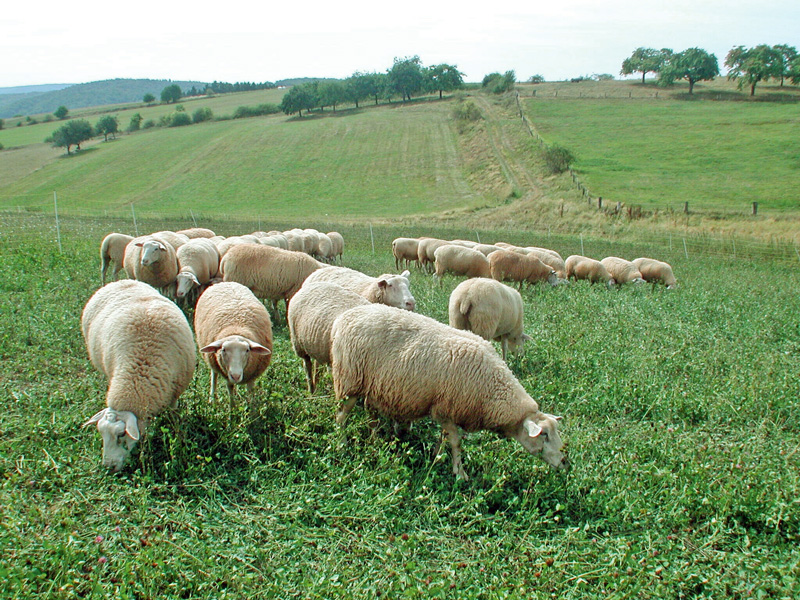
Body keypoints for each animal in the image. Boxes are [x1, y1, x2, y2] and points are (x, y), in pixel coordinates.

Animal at [80, 278, 196, 472]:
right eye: (101, 433)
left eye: (121, 434)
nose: (109, 467)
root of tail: (121, 281)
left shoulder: (175, 391)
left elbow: (174, 414)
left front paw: (176, 430)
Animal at [332, 302, 568, 480]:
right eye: (544, 435)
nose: (566, 461)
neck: (492, 388)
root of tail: (343, 318)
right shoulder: (444, 410)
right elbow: (455, 442)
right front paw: (459, 473)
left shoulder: (449, 410)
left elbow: (444, 438)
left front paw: (435, 456)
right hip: (348, 380)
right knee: (341, 417)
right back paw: (341, 444)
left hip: (371, 386)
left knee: (370, 412)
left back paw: (375, 439)